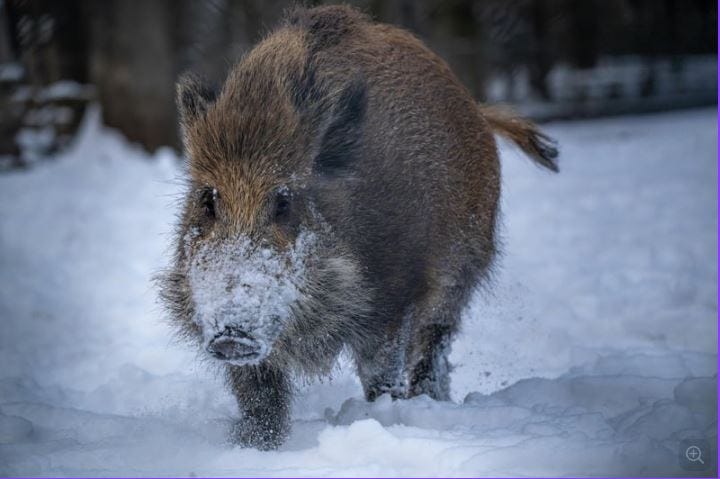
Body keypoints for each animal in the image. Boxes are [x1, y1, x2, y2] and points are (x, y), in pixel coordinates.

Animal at [158, 5, 558, 450]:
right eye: (208, 201)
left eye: (284, 201)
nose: (232, 334)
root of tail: (475, 107)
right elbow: (258, 394)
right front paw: (255, 446)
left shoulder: (392, 295)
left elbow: (381, 371)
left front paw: (383, 417)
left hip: (461, 269)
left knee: (434, 345)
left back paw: (429, 403)